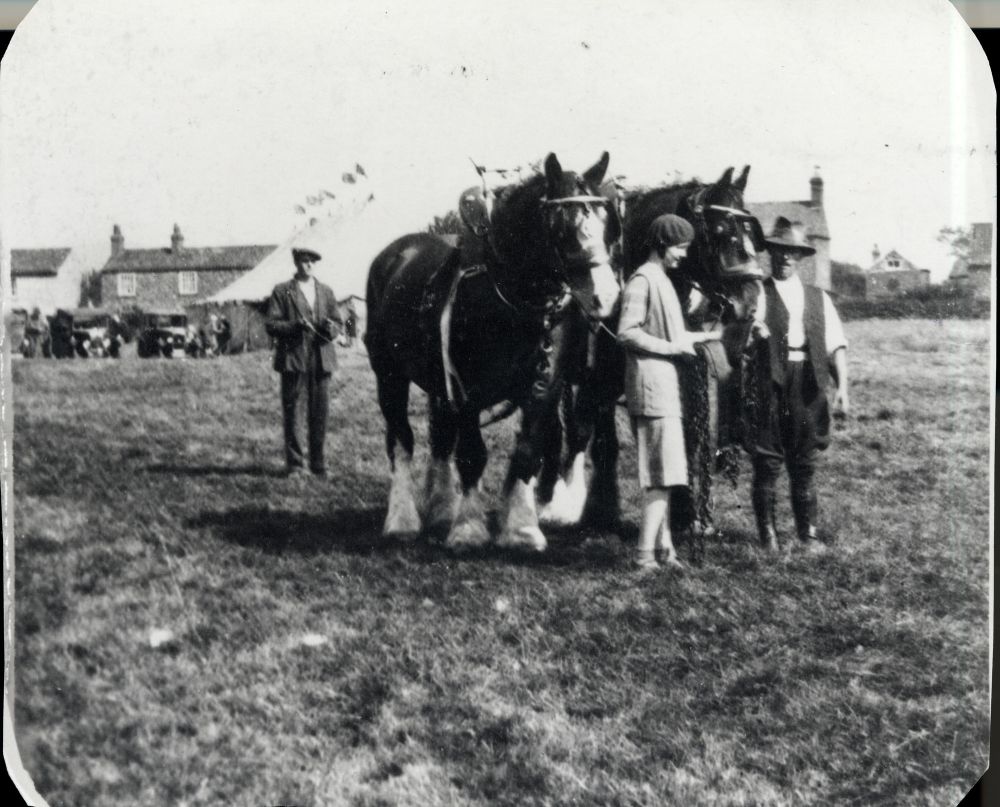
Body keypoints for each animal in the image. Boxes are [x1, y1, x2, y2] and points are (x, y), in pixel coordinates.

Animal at [364, 154, 620, 552]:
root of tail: (394, 254)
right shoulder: (466, 388)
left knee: (441, 436)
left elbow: (529, 450)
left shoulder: (545, 387)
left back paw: (442, 506)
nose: (605, 297)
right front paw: (468, 528)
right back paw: (402, 519)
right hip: (389, 374)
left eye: (607, 222)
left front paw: (521, 528)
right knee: (401, 439)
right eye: (561, 226)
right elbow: (472, 454)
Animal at [540, 165, 764, 536]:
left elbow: (684, 436)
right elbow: (585, 431)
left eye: (750, 231)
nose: (749, 301)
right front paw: (568, 505)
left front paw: (685, 513)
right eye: (718, 230)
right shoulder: (599, 382)